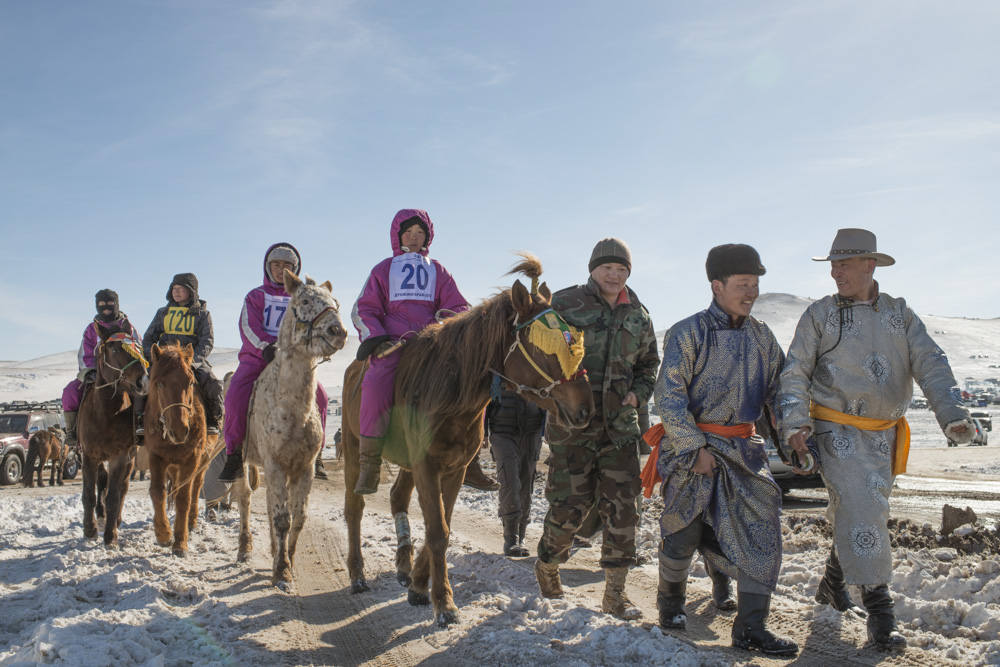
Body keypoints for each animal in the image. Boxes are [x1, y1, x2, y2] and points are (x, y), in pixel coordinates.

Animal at [78, 322, 149, 547]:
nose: (144, 381)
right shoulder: (89, 455)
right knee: (102, 482)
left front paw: (111, 536)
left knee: (122, 488)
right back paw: (100, 518)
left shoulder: (120, 457)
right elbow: (89, 495)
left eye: (138, 348)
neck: (105, 414)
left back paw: (114, 520)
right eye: (116, 350)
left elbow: (114, 496)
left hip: (130, 458)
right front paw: (90, 529)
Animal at [144, 342, 215, 557]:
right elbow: (157, 492)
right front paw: (164, 533)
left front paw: (180, 543)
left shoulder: (191, 459)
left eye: (190, 382)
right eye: (159, 383)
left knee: (196, 487)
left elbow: (184, 497)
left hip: (203, 461)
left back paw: (191, 522)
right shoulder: (155, 456)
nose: (179, 430)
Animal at [231, 271, 348, 588]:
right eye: (305, 301)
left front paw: (287, 561)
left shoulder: (302, 468)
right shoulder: (274, 464)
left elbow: (298, 517)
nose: (338, 331)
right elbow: (282, 519)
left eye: (336, 303)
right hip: (241, 461)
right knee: (245, 498)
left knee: (270, 501)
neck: (292, 408)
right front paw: (282, 571)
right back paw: (244, 547)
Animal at [342, 254, 595, 626]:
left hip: (406, 463)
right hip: (353, 450)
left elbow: (442, 525)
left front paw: (419, 585)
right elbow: (437, 531)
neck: (449, 395)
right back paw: (357, 575)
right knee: (355, 509)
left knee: (397, 497)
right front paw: (444, 603)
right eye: (543, 347)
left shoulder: (454, 469)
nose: (585, 408)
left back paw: (402, 566)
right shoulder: (428, 467)